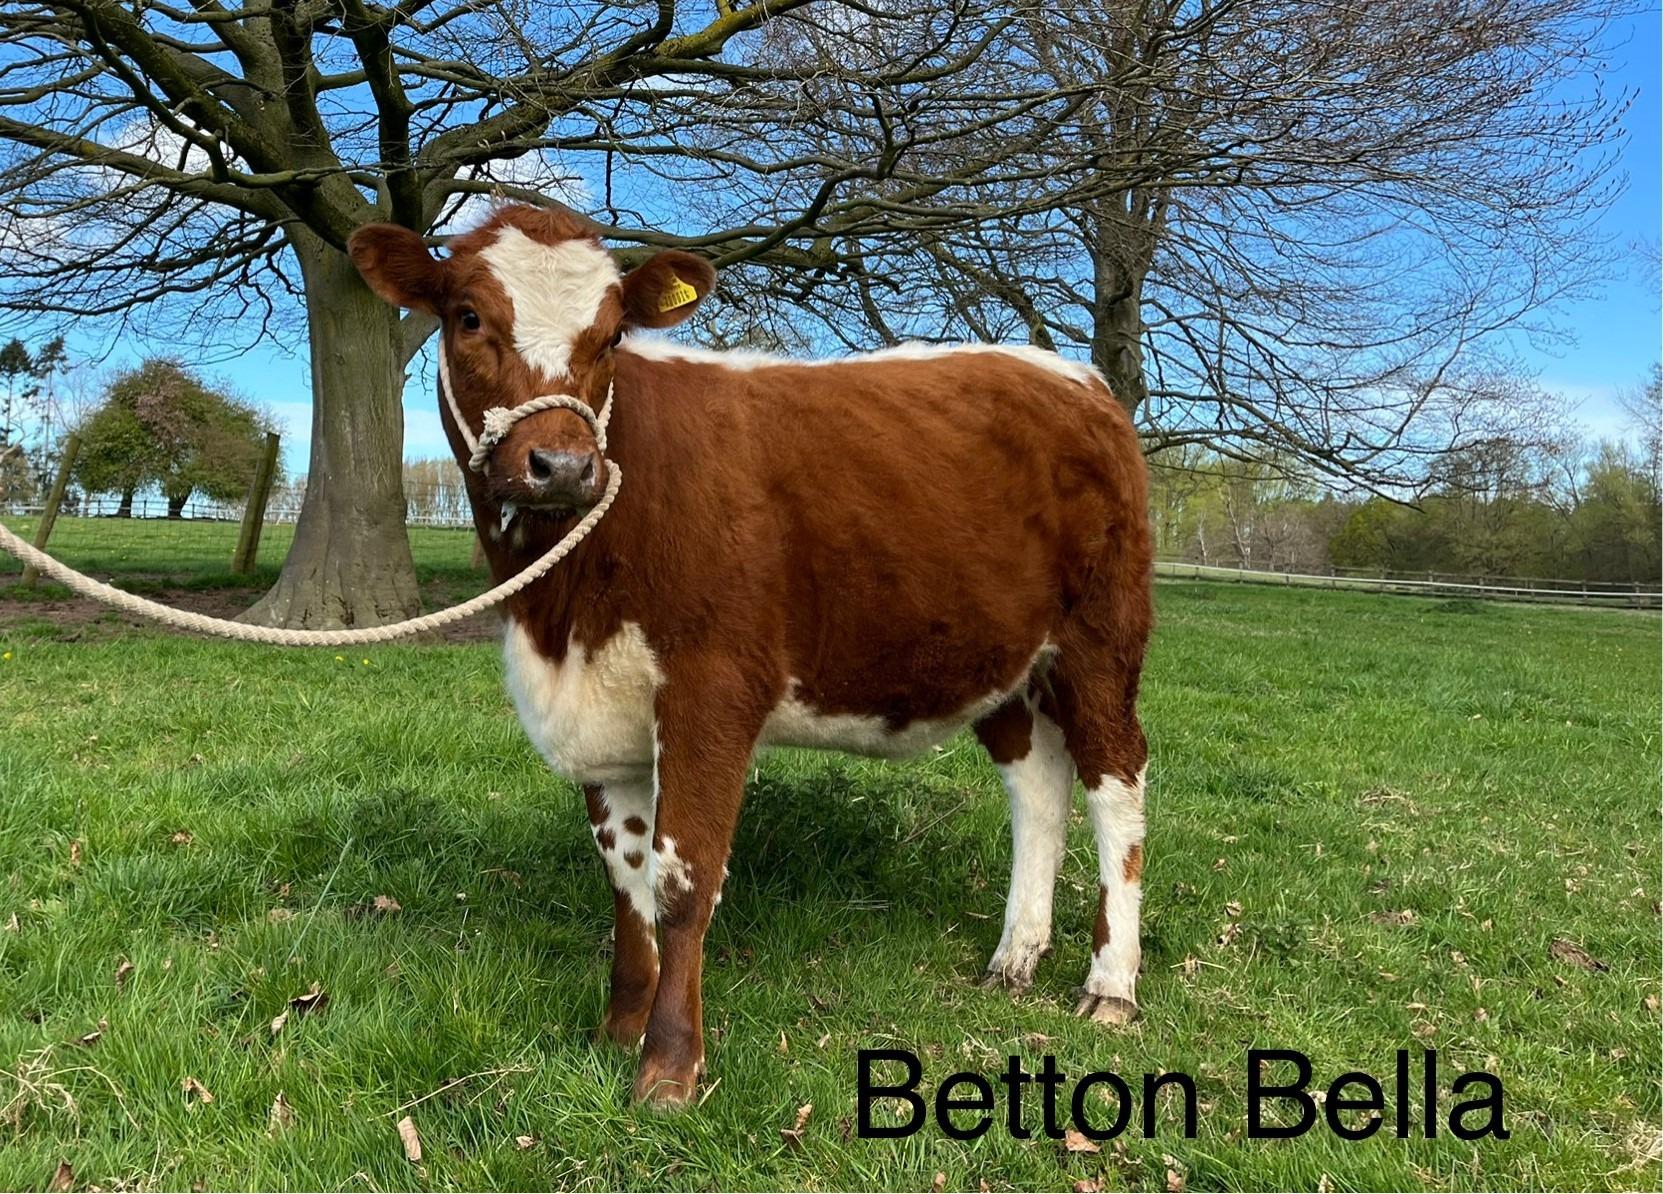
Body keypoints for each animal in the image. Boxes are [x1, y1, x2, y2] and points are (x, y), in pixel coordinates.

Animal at [348, 205, 1153, 1108]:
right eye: (467, 317)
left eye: (612, 333)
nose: (562, 466)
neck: (558, 614)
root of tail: (1072, 376)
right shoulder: (601, 706)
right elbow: (624, 876)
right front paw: (618, 1026)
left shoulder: (712, 690)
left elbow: (681, 878)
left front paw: (668, 1065)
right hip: (1001, 658)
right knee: (1037, 787)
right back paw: (1014, 956)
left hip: (1101, 638)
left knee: (1115, 782)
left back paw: (1110, 983)